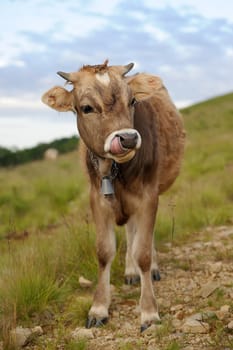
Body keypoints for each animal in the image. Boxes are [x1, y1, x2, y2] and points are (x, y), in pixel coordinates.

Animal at [41, 60, 185, 330]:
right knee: (130, 231)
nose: (127, 138)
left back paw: (150, 270)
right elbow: (104, 252)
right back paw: (130, 272)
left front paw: (149, 311)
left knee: (143, 237)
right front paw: (98, 308)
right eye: (86, 108)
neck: (115, 170)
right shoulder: (97, 199)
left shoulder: (148, 196)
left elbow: (143, 252)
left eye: (132, 101)